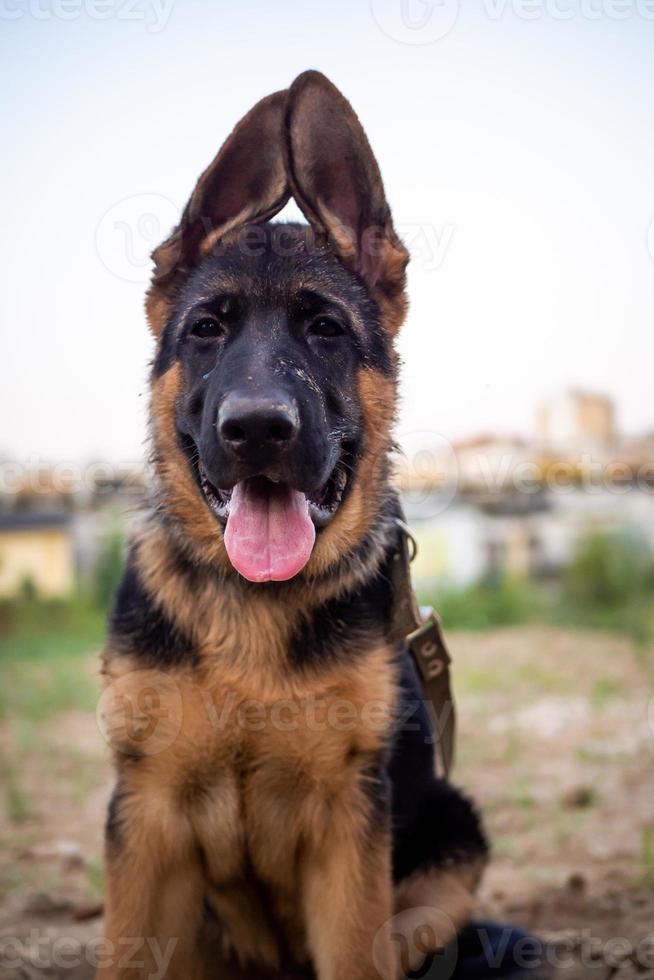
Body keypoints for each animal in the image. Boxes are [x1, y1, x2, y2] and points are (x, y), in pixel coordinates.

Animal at [100, 71, 490, 980]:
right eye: (207, 328)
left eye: (325, 329)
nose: (256, 430)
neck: (254, 602)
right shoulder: (147, 818)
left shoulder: (350, 826)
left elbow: (356, 950)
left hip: (453, 828)